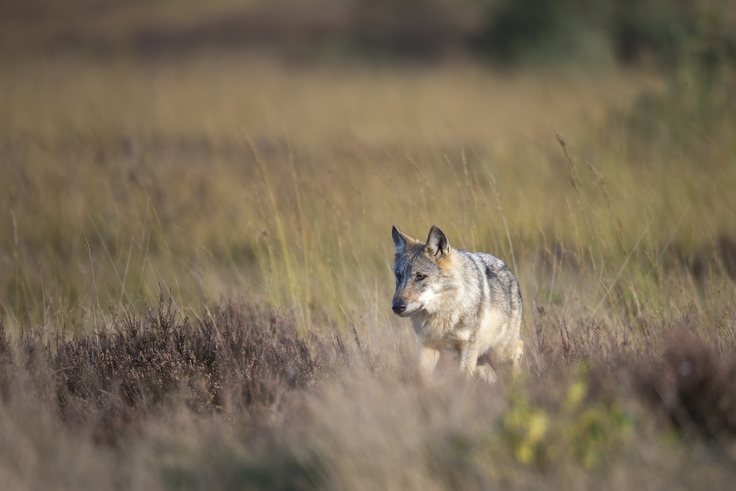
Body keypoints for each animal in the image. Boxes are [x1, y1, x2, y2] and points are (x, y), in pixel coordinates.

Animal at [392, 225, 524, 382]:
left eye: (420, 276)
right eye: (399, 276)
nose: (396, 307)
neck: (441, 317)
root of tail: (508, 270)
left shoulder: (467, 346)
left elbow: (464, 381)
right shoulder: (426, 345)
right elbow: (422, 378)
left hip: (501, 354)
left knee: (519, 349)